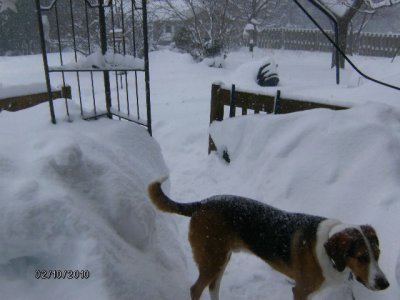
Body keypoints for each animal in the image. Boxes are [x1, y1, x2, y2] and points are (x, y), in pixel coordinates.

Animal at [147, 178, 388, 300]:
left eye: (377, 255)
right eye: (361, 257)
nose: (385, 284)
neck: (330, 254)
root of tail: (202, 203)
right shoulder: (300, 291)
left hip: (221, 259)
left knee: (212, 288)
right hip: (212, 260)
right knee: (195, 289)